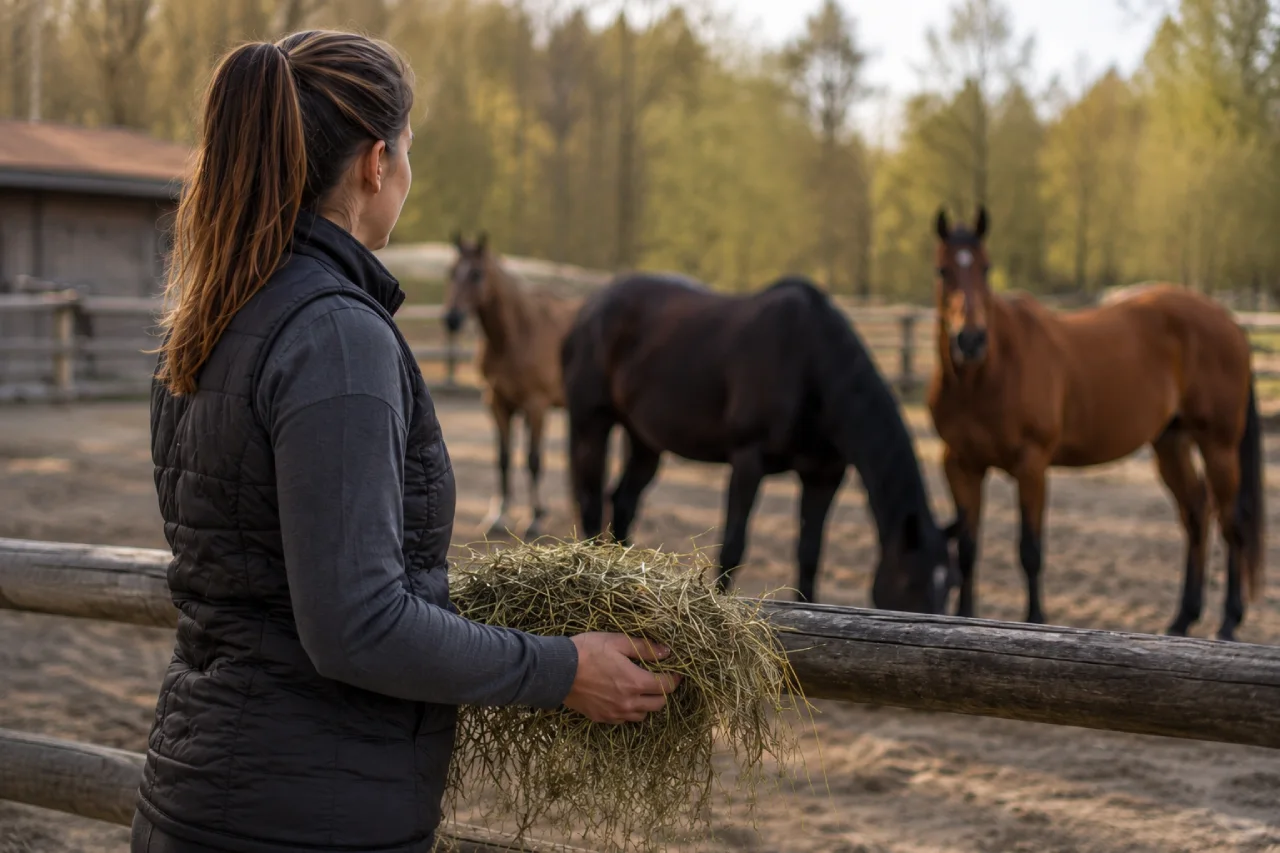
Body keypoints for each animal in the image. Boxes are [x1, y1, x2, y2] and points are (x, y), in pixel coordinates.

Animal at [444, 232, 583, 539]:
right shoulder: (497, 403)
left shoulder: (536, 406)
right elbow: (504, 458)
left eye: (476, 273)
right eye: (451, 271)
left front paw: (534, 519)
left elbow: (533, 460)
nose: (452, 319)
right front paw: (497, 516)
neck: (518, 334)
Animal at [560, 271, 956, 611]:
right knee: (591, 501)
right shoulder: (749, 460)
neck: (809, 364)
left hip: (645, 440)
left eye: (948, 586)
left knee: (623, 503)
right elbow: (733, 547)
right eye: (910, 582)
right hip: (591, 424)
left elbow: (810, 554)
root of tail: (589, 310)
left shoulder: (824, 475)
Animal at [928, 207, 1264, 640]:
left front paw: (1035, 621)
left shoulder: (1031, 465)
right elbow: (968, 550)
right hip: (1170, 444)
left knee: (1231, 522)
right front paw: (964, 619)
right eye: (942, 270)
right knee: (1196, 515)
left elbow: (1030, 550)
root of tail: (1231, 324)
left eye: (986, 268)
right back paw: (1181, 620)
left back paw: (1228, 622)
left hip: (1218, 444)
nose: (969, 340)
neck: (988, 373)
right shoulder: (960, 464)